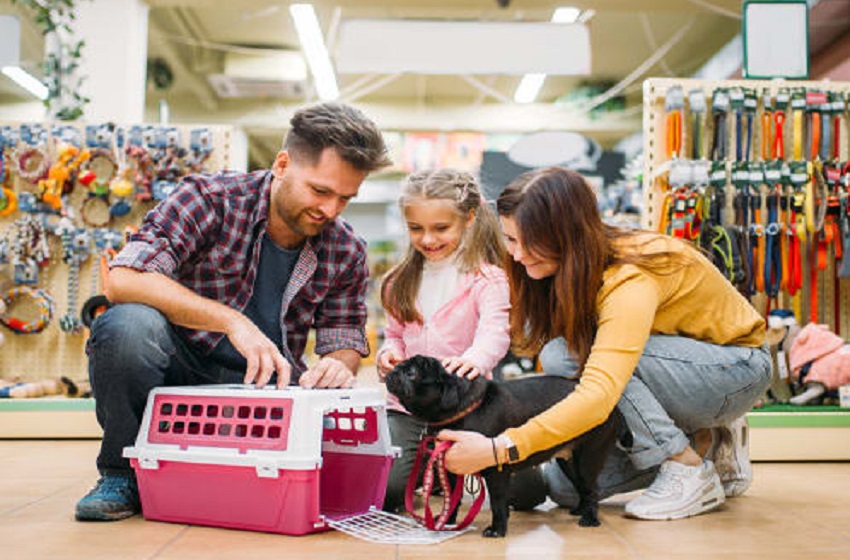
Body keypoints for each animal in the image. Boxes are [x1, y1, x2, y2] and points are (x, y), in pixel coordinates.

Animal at [386, 354, 628, 540]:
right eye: (399, 365)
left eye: (412, 373)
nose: (393, 370)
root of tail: (613, 406)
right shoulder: (451, 469)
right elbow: (451, 499)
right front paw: (446, 521)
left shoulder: (496, 472)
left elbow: (497, 503)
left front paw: (497, 530)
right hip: (569, 462)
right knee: (582, 488)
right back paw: (580, 510)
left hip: (588, 458)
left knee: (591, 488)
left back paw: (590, 518)